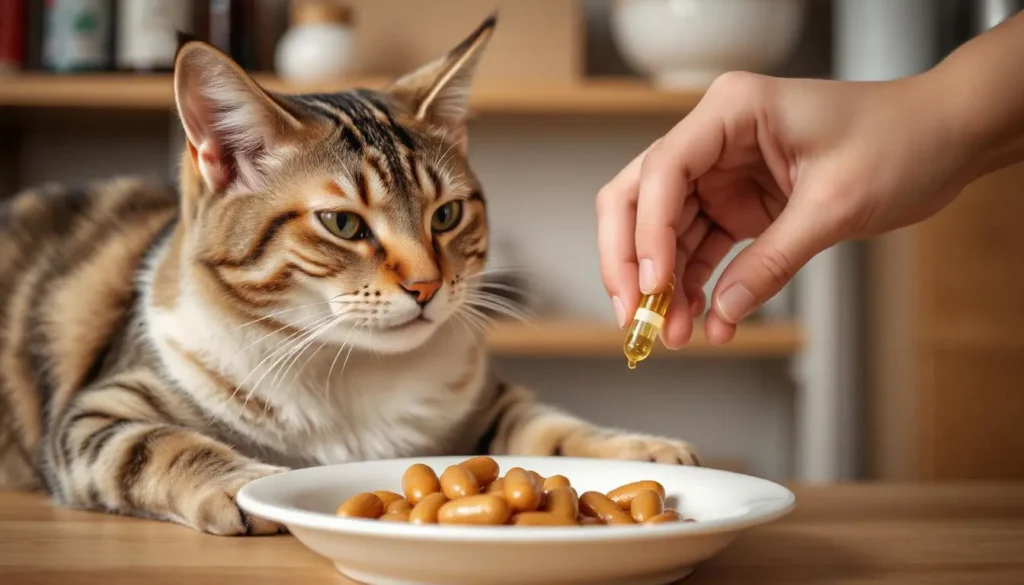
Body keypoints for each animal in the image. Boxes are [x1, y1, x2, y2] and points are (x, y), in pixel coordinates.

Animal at [0, 14, 700, 536]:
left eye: (447, 214)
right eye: (342, 223)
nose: (426, 286)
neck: (347, 367)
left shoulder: (481, 404)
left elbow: (549, 427)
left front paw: (639, 449)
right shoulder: (96, 410)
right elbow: (158, 445)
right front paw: (249, 484)